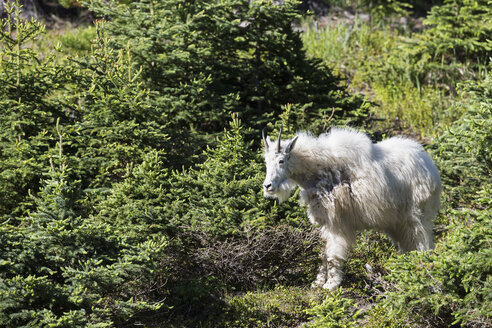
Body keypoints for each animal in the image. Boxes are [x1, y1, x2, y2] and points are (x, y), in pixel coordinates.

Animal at [262, 125, 442, 290]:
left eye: (281, 160)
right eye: (266, 161)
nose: (267, 186)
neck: (316, 172)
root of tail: (430, 167)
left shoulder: (337, 223)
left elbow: (332, 253)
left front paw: (331, 284)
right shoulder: (325, 222)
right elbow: (322, 252)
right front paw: (317, 282)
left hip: (417, 214)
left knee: (423, 242)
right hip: (396, 222)